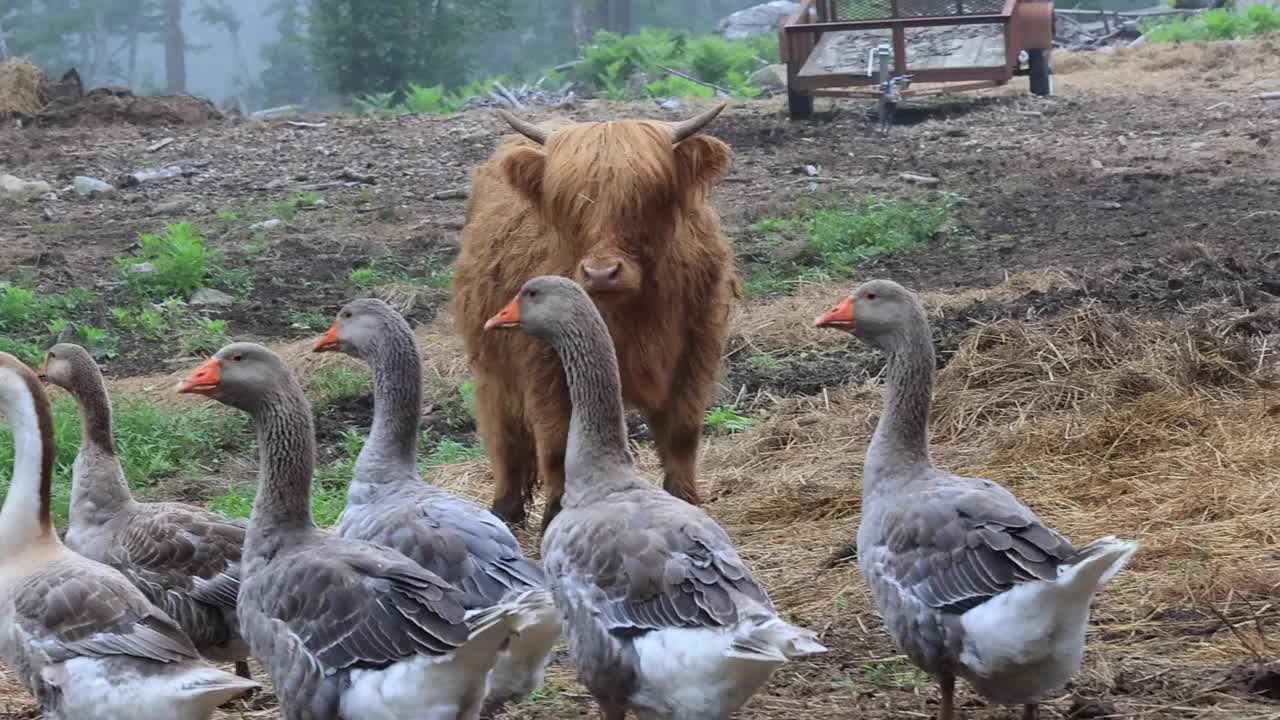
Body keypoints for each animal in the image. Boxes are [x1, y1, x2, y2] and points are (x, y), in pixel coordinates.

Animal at [455, 101, 742, 530]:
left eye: (647, 194)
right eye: (568, 201)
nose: (602, 273)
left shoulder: (695, 352)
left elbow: (682, 434)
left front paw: (685, 502)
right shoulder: (545, 369)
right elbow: (556, 443)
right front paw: (557, 514)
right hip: (493, 367)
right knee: (503, 435)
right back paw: (504, 509)